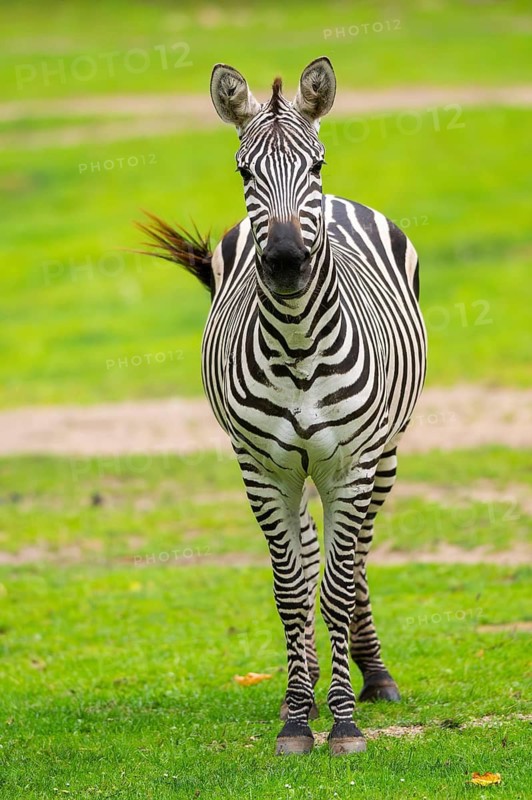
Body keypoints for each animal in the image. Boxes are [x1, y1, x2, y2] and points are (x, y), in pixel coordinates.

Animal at [139, 57, 427, 756]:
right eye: (244, 172)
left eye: (316, 166)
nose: (288, 261)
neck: (297, 340)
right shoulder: (261, 469)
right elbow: (293, 590)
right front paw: (298, 718)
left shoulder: (351, 464)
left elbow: (338, 585)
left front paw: (344, 723)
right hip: (291, 470)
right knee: (308, 550)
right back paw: (308, 681)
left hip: (383, 457)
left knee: (359, 559)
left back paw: (373, 675)